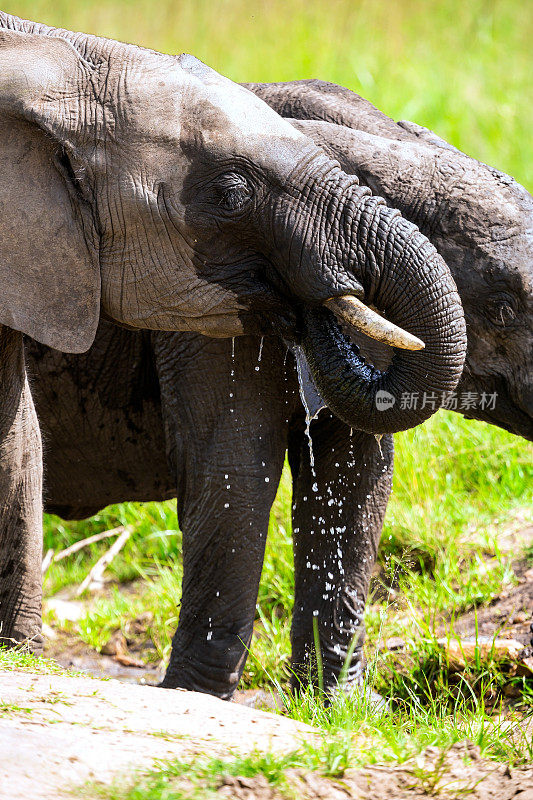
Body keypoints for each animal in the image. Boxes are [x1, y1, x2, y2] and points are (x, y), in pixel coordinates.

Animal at [26, 78, 532, 696]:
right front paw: (198, 699)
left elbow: (354, 482)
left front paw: (337, 704)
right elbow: (235, 473)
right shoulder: (208, 308)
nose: (310, 316)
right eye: (503, 307)